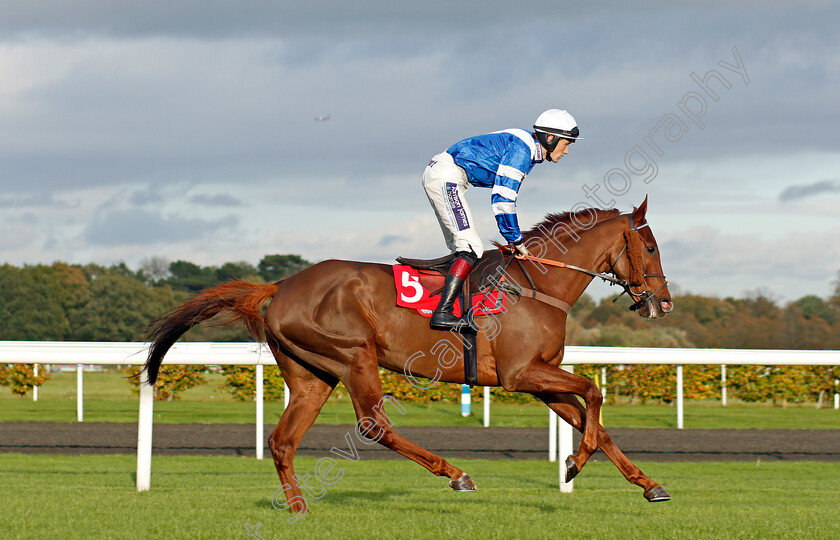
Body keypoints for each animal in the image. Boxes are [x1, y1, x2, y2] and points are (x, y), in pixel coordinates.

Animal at [141, 197, 672, 510]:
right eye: (649, 246)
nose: (663, 302)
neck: (537, 284)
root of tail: (282, 285)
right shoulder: (523, 374)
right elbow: (594, 393)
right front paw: (574, 463)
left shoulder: (541, 379)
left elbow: (594, 424)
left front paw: (648, 484)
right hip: (354, 356)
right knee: (374, 425)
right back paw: (455, 474)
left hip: (313, 375)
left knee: (283, 441)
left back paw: (298, 507)